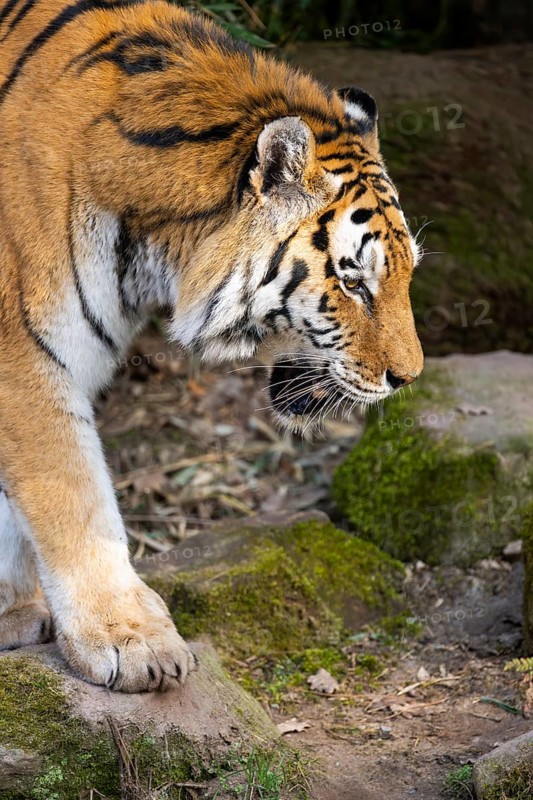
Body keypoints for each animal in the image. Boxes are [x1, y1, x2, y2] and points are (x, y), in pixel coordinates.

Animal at [0, 0, 423, 692]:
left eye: (409, 271)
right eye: (353, 281)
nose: (408, 378)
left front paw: (15, 610)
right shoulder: (24, 357)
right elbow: (72, 495)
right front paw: (129, 641)